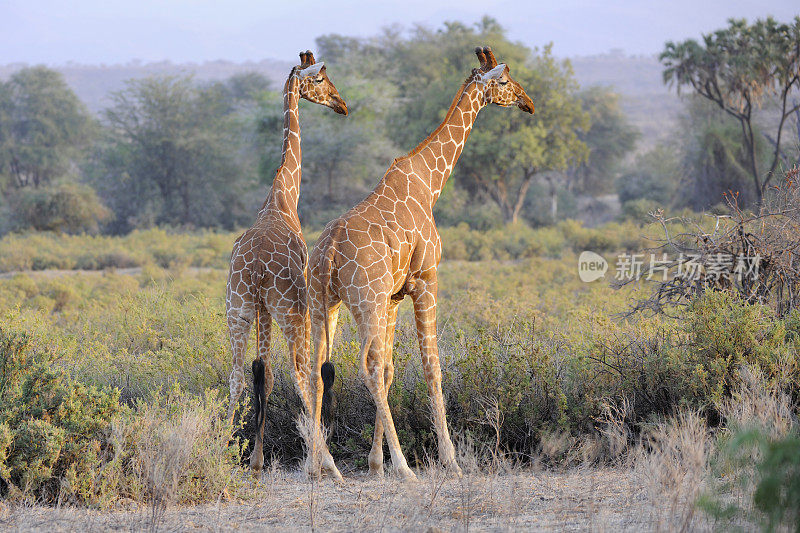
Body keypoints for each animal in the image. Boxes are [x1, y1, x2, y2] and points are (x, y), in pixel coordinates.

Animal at [227, 50, 348, 474]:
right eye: (323, 80)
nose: (342, 105)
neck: (282, 196)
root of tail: (257, 269)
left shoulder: (260, 309)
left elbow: (262, 372)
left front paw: (257, 457)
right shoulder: (295, 303)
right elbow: (295, 373)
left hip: (238, 307)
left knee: (236, 373)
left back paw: (220, 446)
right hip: (290, 309)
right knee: (301, 371)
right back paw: (328, 464)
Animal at [306, 46, 536, 478]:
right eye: (504, 79)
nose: (528, 102)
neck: (430, 184)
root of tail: (328, 252)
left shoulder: (394, 296)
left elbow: (393, 369)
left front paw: (375, 463)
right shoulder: (426, 281)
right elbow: (432, 366)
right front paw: (450, 460)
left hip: (325, 304)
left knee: (317, 368)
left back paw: (317, 464)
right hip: (364, 301)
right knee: (366, 366)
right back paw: (404, 466)